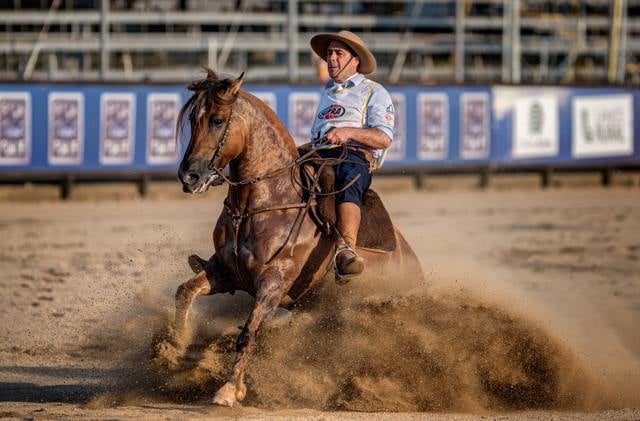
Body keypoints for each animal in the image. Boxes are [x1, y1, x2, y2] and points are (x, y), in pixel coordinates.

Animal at [155, 69, 422, 406]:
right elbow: (184, 292)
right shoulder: (224, 273)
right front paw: (174, 352)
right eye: (193, 119)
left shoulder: (273, 282)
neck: (266, 201)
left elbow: (249, 332)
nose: (189, 176)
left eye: (217, 120)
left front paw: (230, 389)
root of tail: (411, 260)